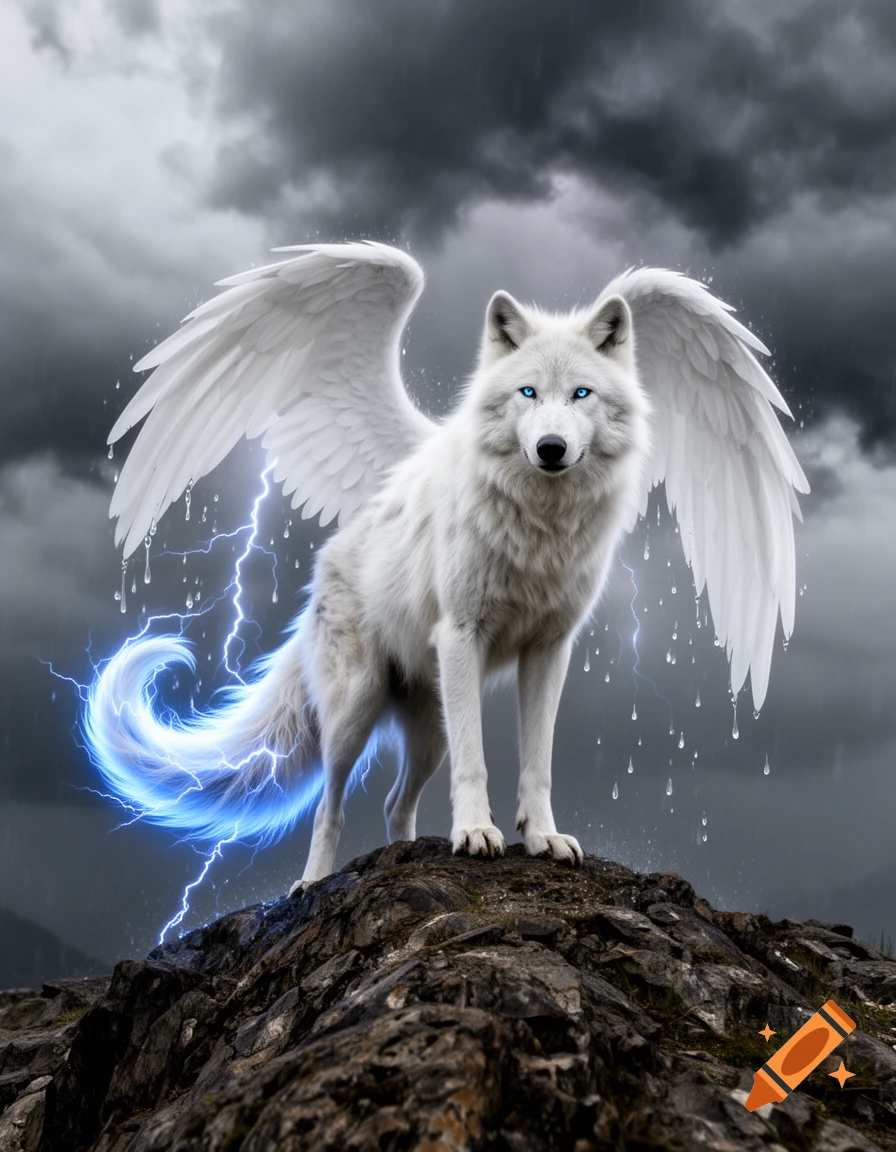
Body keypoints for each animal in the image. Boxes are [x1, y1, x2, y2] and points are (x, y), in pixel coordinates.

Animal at [85, 243, 808, 895]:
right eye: (527, 393)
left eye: (581, 395)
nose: (551, 448)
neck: (539, 529)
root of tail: (324, 565)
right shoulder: (463, 634)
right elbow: (478, 764)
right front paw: (477, 835)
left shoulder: (550, 649)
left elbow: (538, 761)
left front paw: (542, 838)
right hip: (356, 710)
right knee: (329, 805)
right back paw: (310, 885)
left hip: (427, 726)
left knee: (392, 805)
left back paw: (405, 858)